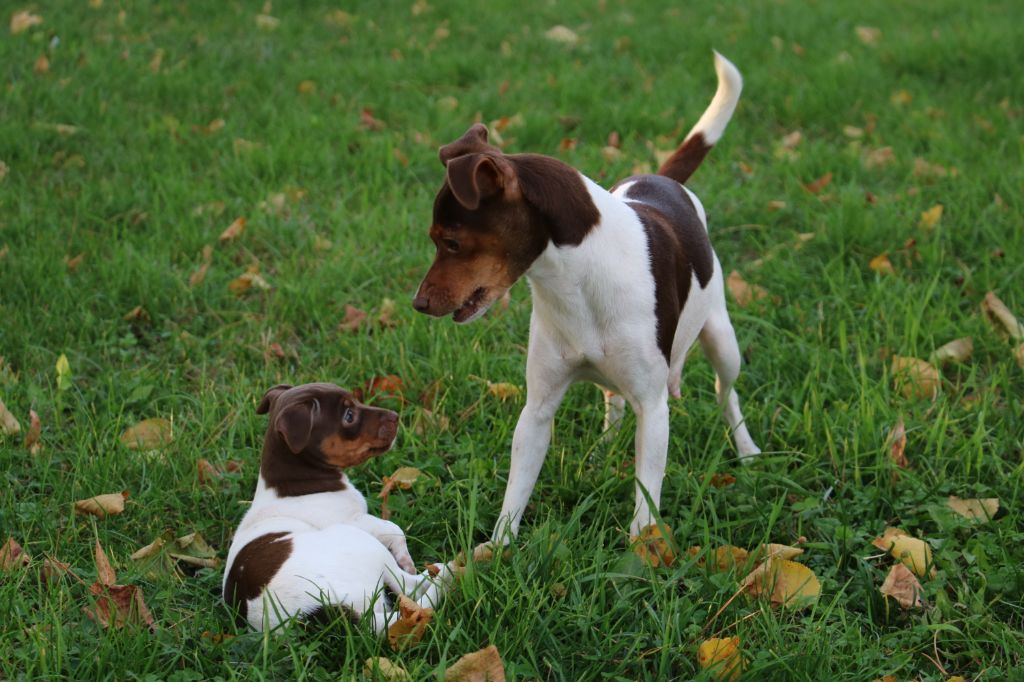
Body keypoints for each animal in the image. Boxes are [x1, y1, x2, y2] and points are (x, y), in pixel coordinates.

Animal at [224, 378, 448, 630]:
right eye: (349, 415)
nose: (395, 416)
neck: (293, 483)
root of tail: (328, 609)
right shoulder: (354, 520)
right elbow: (394, 528)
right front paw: (405, 558)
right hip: (363, 544)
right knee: (409, 586)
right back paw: (444, 570)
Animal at [413, 53, 761, 540]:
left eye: (451, 242)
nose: (418, 304)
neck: (575, 280)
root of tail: (661, 178)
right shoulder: (537, 409)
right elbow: (515, 494)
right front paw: (494, 550)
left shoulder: (654, 409)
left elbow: (645, 500)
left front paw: (643, 550)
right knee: (613, 401)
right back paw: (602, 451)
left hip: (721, 340)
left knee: (726, 394)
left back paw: (746, 451)